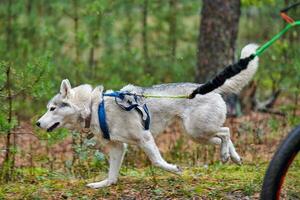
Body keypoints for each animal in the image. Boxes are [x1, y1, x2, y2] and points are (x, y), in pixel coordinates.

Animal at [37, 43, 258, 188]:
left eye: (52, 109)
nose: (37, 123)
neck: (94, 107)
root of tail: (205, 88)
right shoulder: (118, 147)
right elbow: (112, 175)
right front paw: (103, 184)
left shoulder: (145, 138)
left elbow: (158, 162)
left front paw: (174, 169)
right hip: (198, 135)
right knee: (224, 137)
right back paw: (233, 157)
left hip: (198, 130)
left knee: (226, 131)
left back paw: (226, 155)